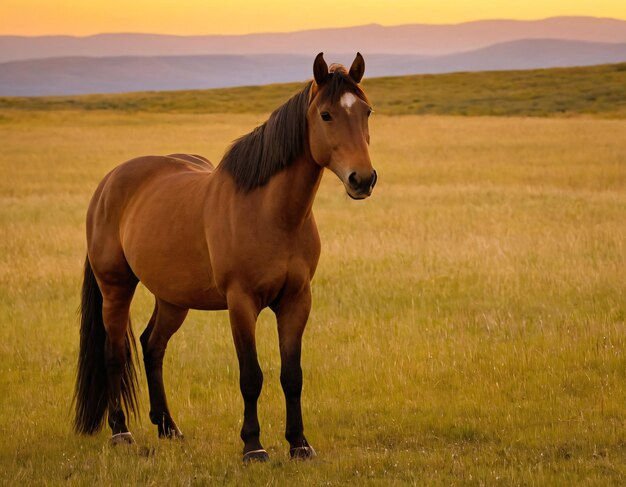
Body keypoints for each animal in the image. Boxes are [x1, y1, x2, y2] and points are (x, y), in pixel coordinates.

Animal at [73, 53, 376, 466]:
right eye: (326, 115)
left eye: (366, 111)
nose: (363, 179)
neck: (271, 213)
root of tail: (108, 183)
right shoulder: (241, 302)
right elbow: (251, 376)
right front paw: (254, 446)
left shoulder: (297, 300)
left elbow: (291, 375)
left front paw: (299, 443)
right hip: (116, 289)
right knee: (115, 353)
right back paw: (121, 432)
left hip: (173, 299)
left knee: (153, 346)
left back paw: (168, 427)